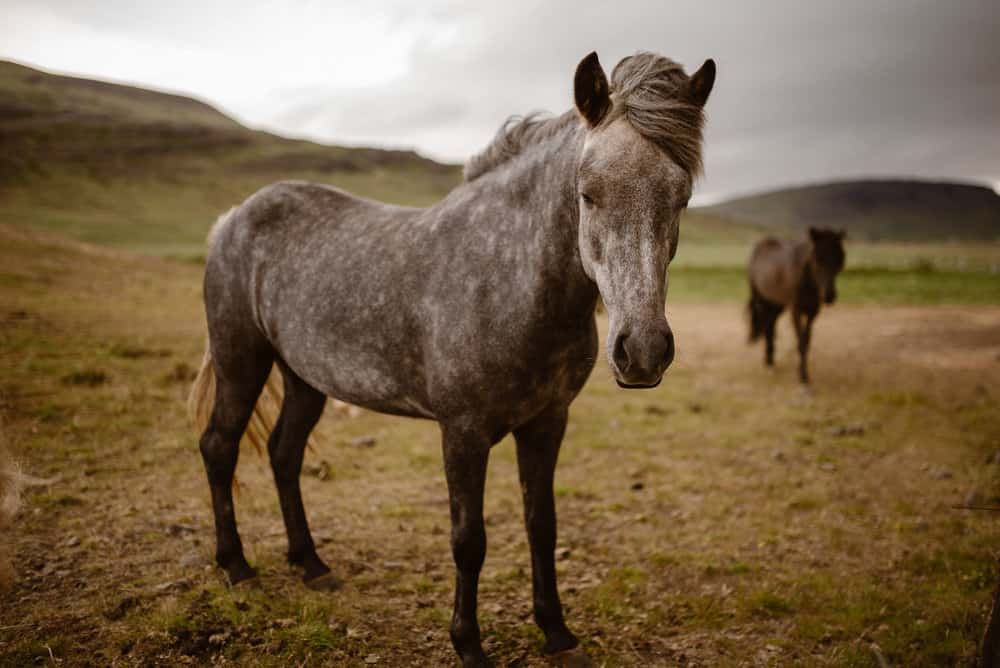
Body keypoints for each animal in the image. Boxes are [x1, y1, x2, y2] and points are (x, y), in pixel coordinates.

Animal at [189, 50, 715, 667]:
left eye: (681, 197)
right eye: (588, 194)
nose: (644, 351)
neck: (507, 278)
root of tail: (233, 218)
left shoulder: (547, 423)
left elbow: (543, 525)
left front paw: (557, 632)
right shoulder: (462, 432)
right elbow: (469, 540)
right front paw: (469, 644)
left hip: (304, 378)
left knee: (283, 454)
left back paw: (312, 565)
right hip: (240, 361)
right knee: (219, 447)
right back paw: (237, 567)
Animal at [747, 227, 846, 383]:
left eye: (839, 258)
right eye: (817, 259)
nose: (829, 296)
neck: (807, 281)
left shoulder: (813, 311)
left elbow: (806, 341)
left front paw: (802, 372)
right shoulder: (796, 311)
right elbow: (800, 342)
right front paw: (803, 377)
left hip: (777, 304)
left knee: (771, 325)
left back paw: (771, 359)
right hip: (760, 299)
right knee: (766, 326)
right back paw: (768, 362)